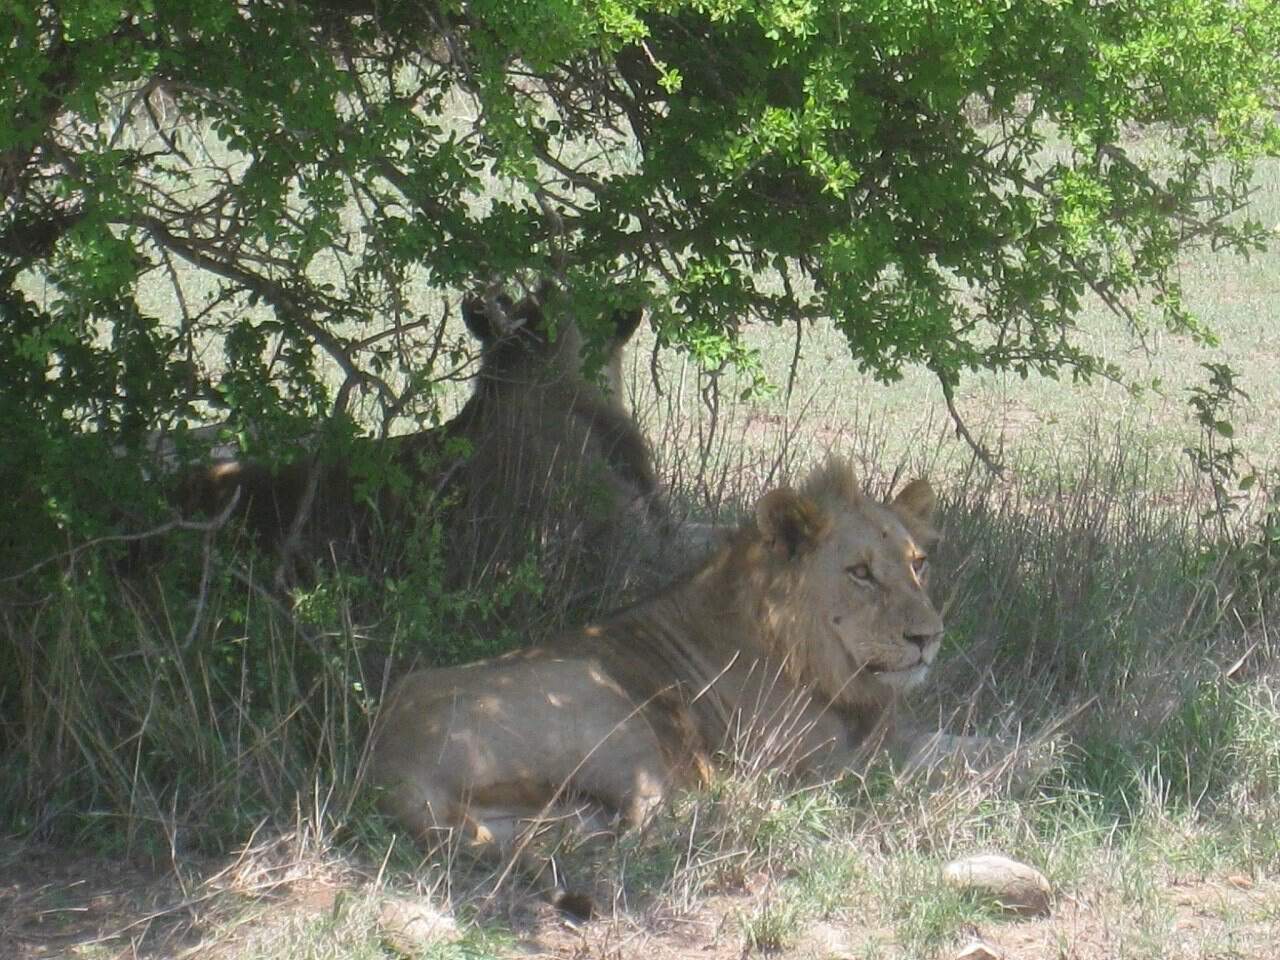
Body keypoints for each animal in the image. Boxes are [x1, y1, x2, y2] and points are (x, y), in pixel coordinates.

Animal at [369, 457, 971, 848]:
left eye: (918, 564)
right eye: (861, 573)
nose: (929, 637)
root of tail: (390, 761)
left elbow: (954, 742)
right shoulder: (824, 757)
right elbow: (942, 760)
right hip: (608, 708)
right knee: (661, 817)